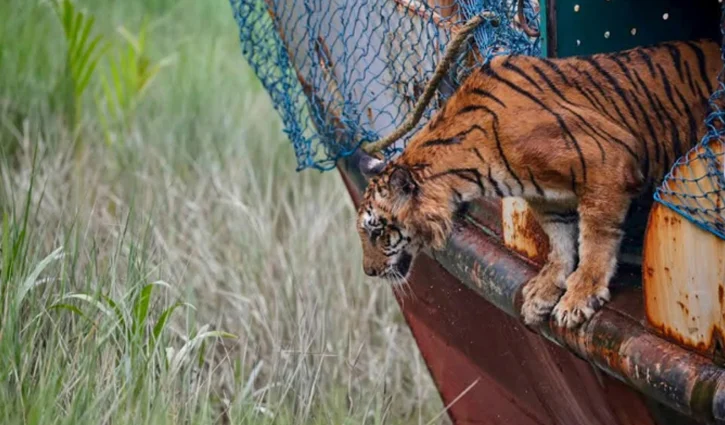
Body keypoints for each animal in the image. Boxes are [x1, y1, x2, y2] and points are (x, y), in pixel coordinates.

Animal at [354, 39, 722, 328]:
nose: (368, 272)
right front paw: (544, 290)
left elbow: (595, 236)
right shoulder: (548, 199)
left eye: (378, 232)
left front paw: (580, 295)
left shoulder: (608, 160)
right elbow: (560, 241)